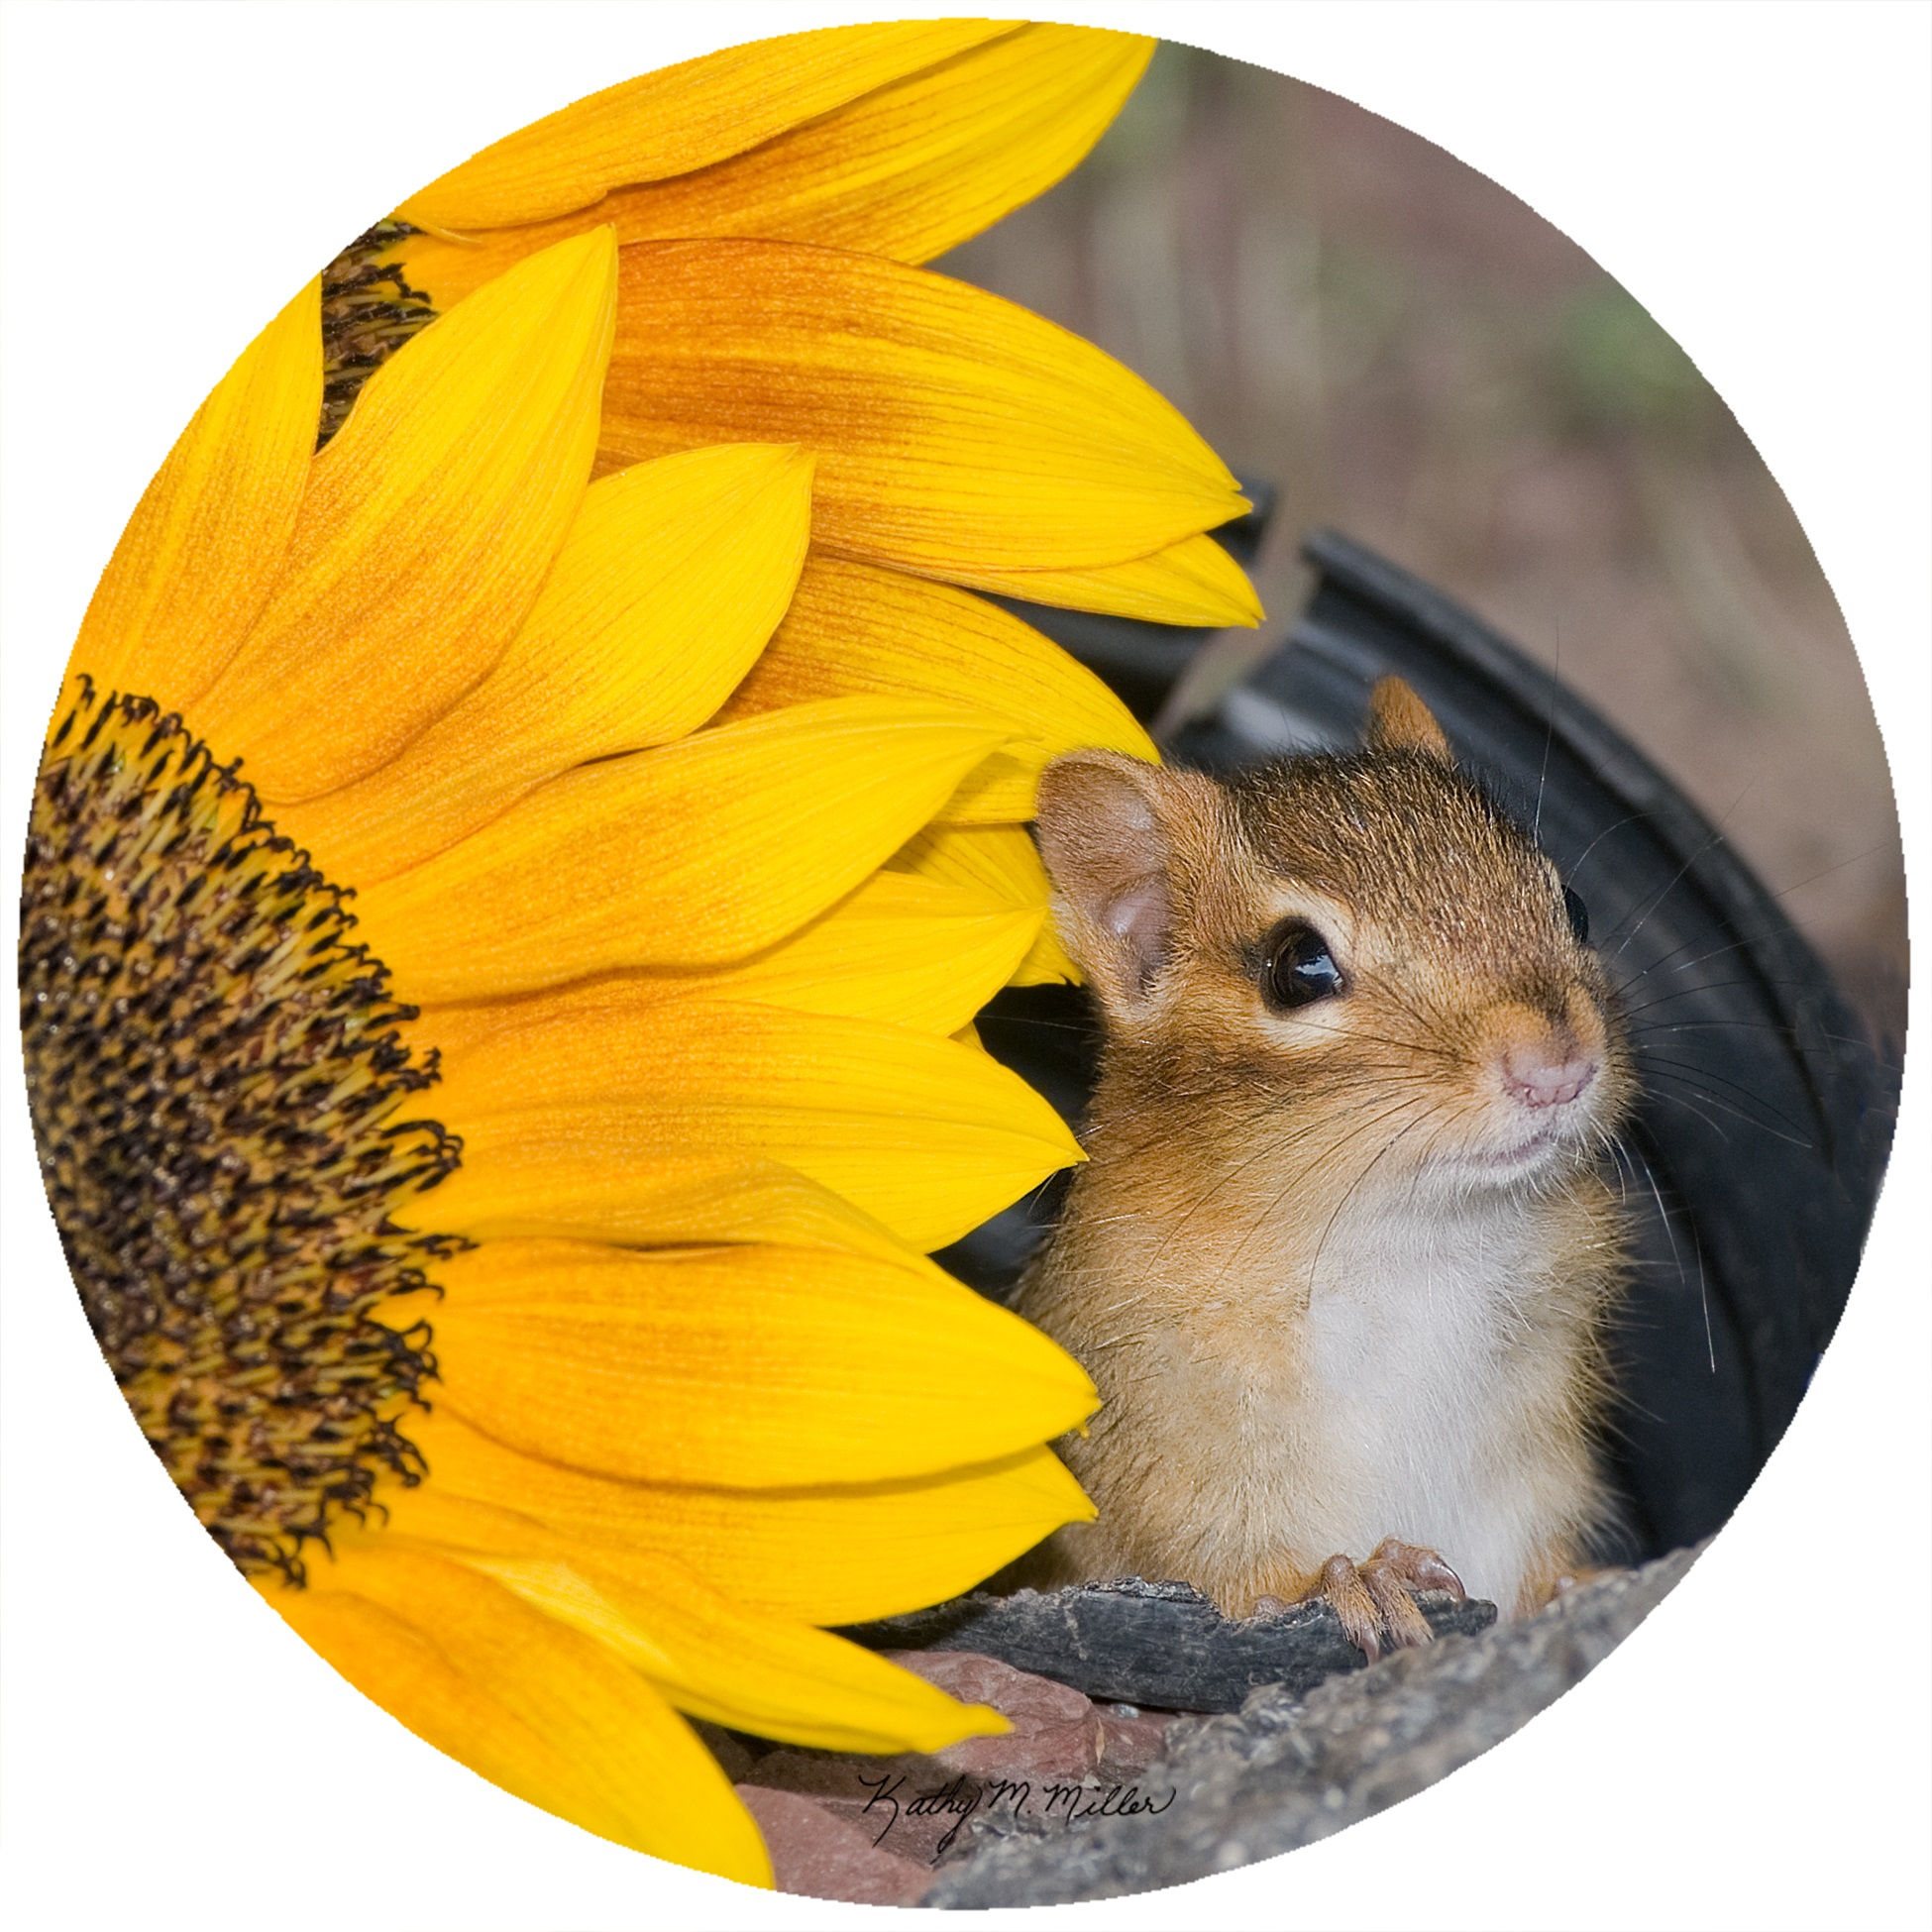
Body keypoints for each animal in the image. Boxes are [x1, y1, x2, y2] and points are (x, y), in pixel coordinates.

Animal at [1012, 677, 1632, 1658]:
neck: (1412, 1242)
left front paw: (1578, 1586)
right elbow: (1230, 1577)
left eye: (1572, 904)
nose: (1558, 1067)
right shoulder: (1157, 1486)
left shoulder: (1536, 1473)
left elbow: (1537, 1569)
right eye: (1297, 965)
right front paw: (1358, 1579)